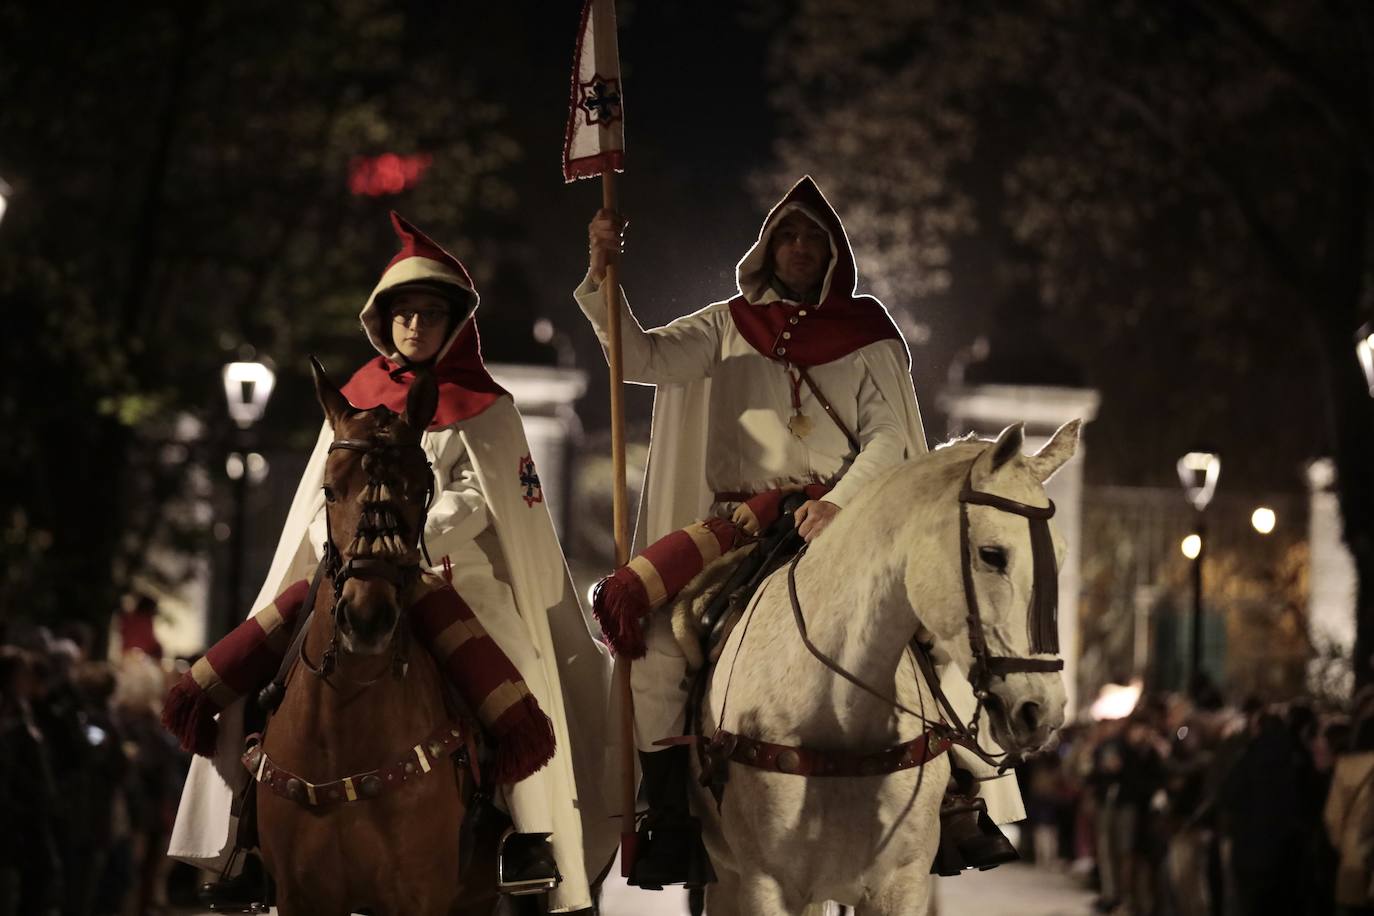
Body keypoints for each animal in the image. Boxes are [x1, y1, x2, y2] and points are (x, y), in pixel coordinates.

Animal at [692, 422, 1077, 916]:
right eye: (993, 554)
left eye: (1060, 558)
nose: (1041, 709)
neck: (838, 716)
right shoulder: (765, 885)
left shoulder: (901, 884)